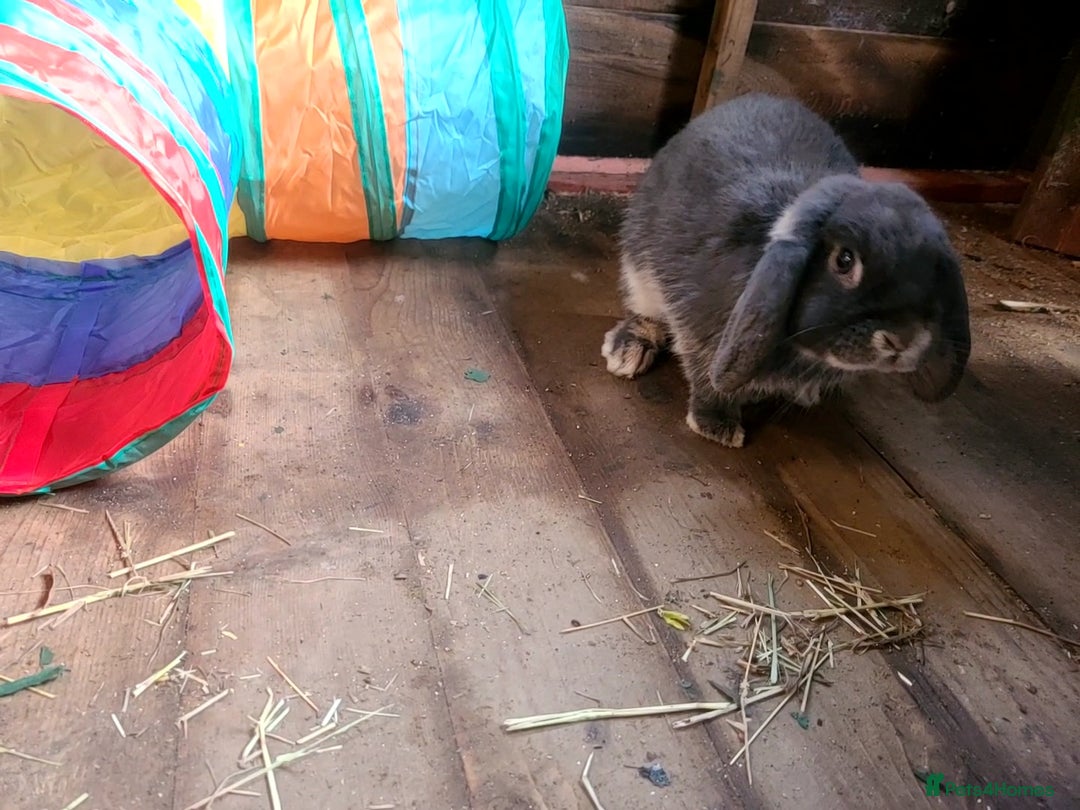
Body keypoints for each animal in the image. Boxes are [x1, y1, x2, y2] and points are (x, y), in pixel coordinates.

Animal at [601, 92, 971, 447]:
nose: (903, 339)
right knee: (644, 311)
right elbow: (709, 380)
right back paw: (627, 352)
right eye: (844, 260)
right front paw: (717, 428)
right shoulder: (700, 334)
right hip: (638, 267)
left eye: (933, 270)